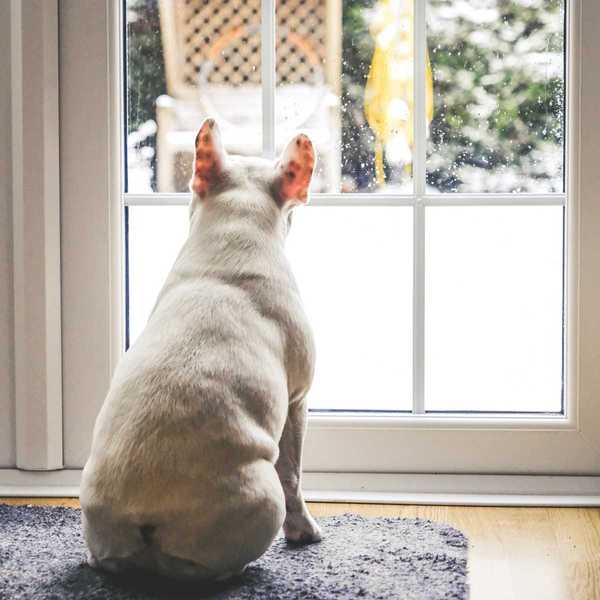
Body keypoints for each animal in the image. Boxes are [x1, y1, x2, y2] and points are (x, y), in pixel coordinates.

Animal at [83, 118, 324, 580]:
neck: (235, 233)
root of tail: (145, 514)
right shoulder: (298, 399)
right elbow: (294, 473)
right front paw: (305, 531)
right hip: (262, 498)